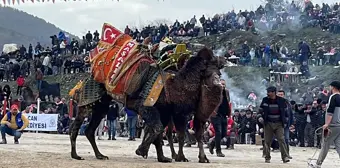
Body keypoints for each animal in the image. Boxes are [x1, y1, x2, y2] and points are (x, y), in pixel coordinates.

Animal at [68, 22, 228, 163]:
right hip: (89, 97)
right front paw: (142, 150)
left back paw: (100, 155)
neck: (174, 84)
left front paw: (165, 157)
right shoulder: (148, 106)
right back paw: (76, 155)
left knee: (90, 129)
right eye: (207, 72)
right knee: (77, 124)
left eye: (219, 72)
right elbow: (158, 129)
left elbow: (167, 133)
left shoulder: (168, 111)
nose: (219, 84)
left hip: (102, 104)